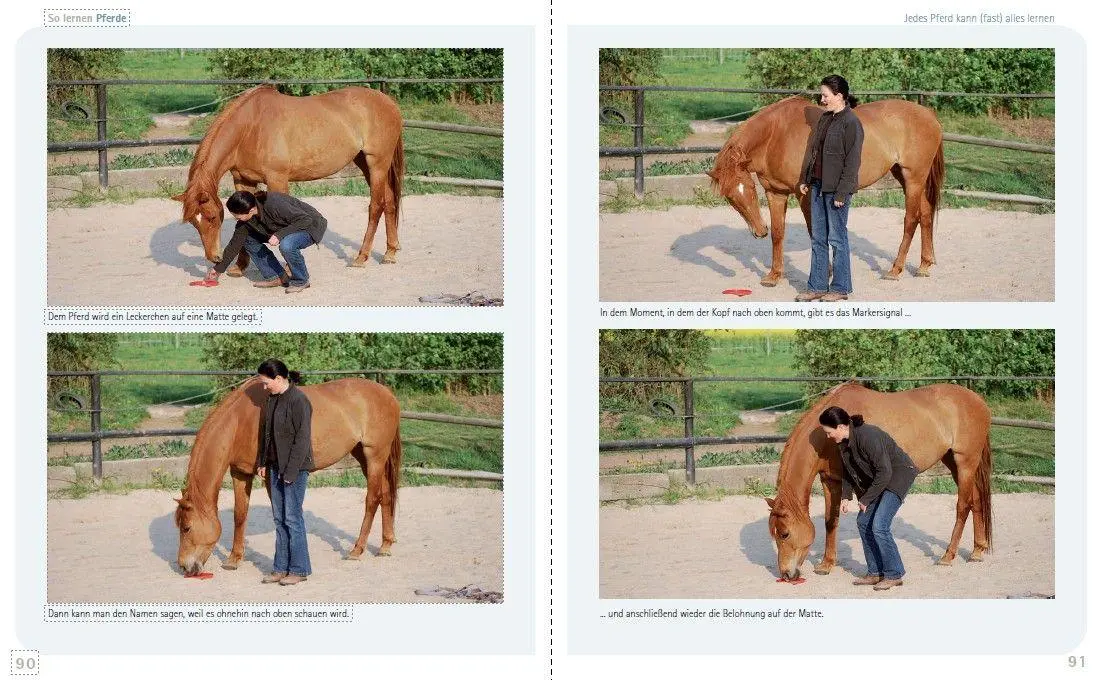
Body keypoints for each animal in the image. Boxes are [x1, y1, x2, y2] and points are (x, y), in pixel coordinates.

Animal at [172, 86, 405, 274]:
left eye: (212, 217)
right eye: (193, 222)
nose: (214, 257)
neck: (250, 127)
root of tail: (388, 101)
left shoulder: (277, 180)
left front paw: (287, 268)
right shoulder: (243, 181)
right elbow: (244, 222)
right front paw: (239, 266)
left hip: (377, 163)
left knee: (376, 206)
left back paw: (361, 257)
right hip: (365, 163)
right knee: (390, 202)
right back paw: (390, 252)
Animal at [175, 377, 402, 576]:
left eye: (187, 528)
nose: (184, 567)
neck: (241, 419)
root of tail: (387, 393)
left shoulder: (270, 474)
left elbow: (280, 514)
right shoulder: (240, 472)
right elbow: (240, 514)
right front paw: (234, 559)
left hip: (375, 456)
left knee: (372, 499)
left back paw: (357, 550)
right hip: (363, 455)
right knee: (386, 495)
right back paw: (385, 545)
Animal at [708, 96, 945, 286]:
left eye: (749, 187)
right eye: (730, 197)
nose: (759, 231)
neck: (777, 134)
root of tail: (929, 114)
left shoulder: (804, 194)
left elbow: (815, 232)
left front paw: (826, 273)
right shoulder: (775, 193)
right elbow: (778, 233)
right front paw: (774, 276)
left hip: (913, 178)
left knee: (911, 220)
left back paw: (895, 270)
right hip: (906, 177)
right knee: (925, 215)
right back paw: (924, 265)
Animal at [765, 382, 992, 581]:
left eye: (784, 534)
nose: (786, 575)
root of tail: (978, 400)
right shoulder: (831, 480)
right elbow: (831, 520)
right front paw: (826, 564)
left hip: (965, 462)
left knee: (963, 507)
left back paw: (948, 556)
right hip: (953, 462)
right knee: (977, 501)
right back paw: (977, 551)